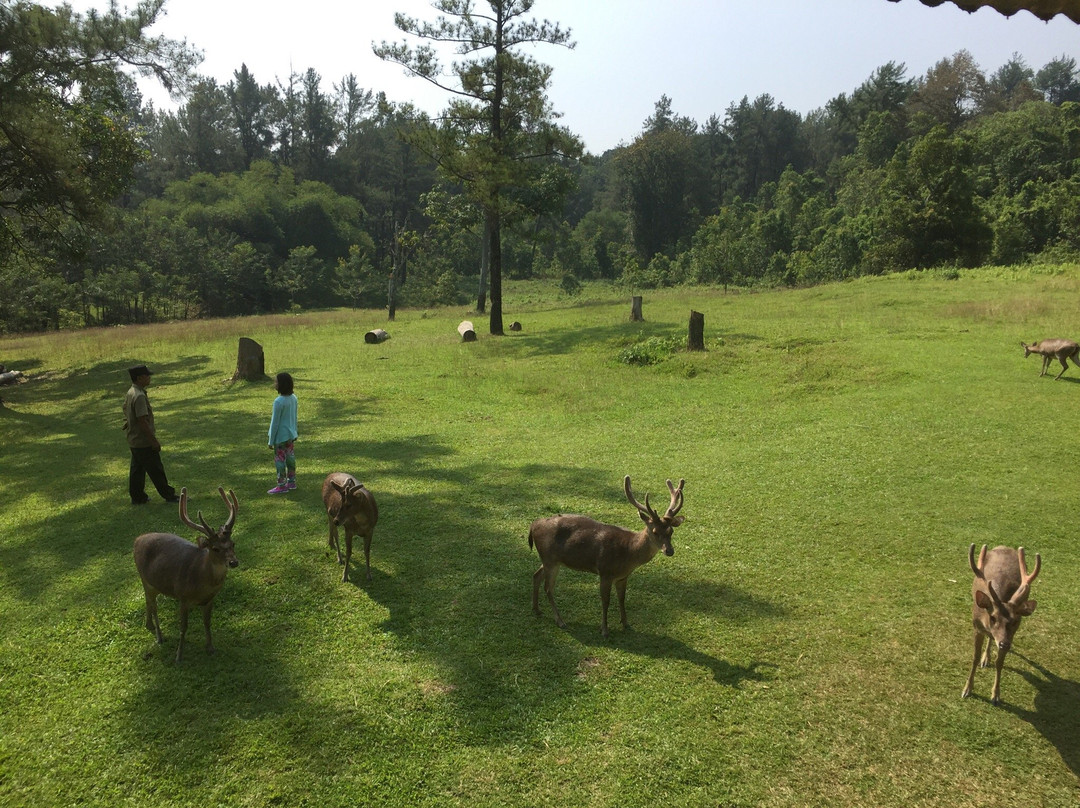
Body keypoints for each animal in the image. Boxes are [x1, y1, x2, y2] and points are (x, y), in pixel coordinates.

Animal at [132, 486, 238, 661]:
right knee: (154, 607)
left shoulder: (209, 599)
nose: (233, 562)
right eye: (215, 548)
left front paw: (210, 647)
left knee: (148, 601)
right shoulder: (182, 596)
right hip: (145, 579)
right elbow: (183, 627)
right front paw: (179, 656)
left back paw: (149, 626)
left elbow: (207, 622)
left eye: (233, 544)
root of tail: (137, 539)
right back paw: (159, 636)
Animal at [529, 473, 682, 639]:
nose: (669, 551)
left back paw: (536, 609)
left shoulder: (623, 576)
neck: (629, 553)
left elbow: (622, 598)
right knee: (548, 587)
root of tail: (534, 524)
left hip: (549, 559)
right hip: (550, 559)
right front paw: (604, 630)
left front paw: (626, 623)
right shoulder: (605, 572)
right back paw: (560, 620)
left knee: (536, 575)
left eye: (671, 531)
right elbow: (606, 601)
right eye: (655, 531)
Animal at [963, 542, 1036, 708]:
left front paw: (996, 695)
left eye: (1015, 620)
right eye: (993, 617)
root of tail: (1005, 546)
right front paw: (967, 689)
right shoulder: (977, 626)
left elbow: (1000, 662)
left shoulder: (1011, 633)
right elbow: (975, 657)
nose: (1004, 644)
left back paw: (987, 658)